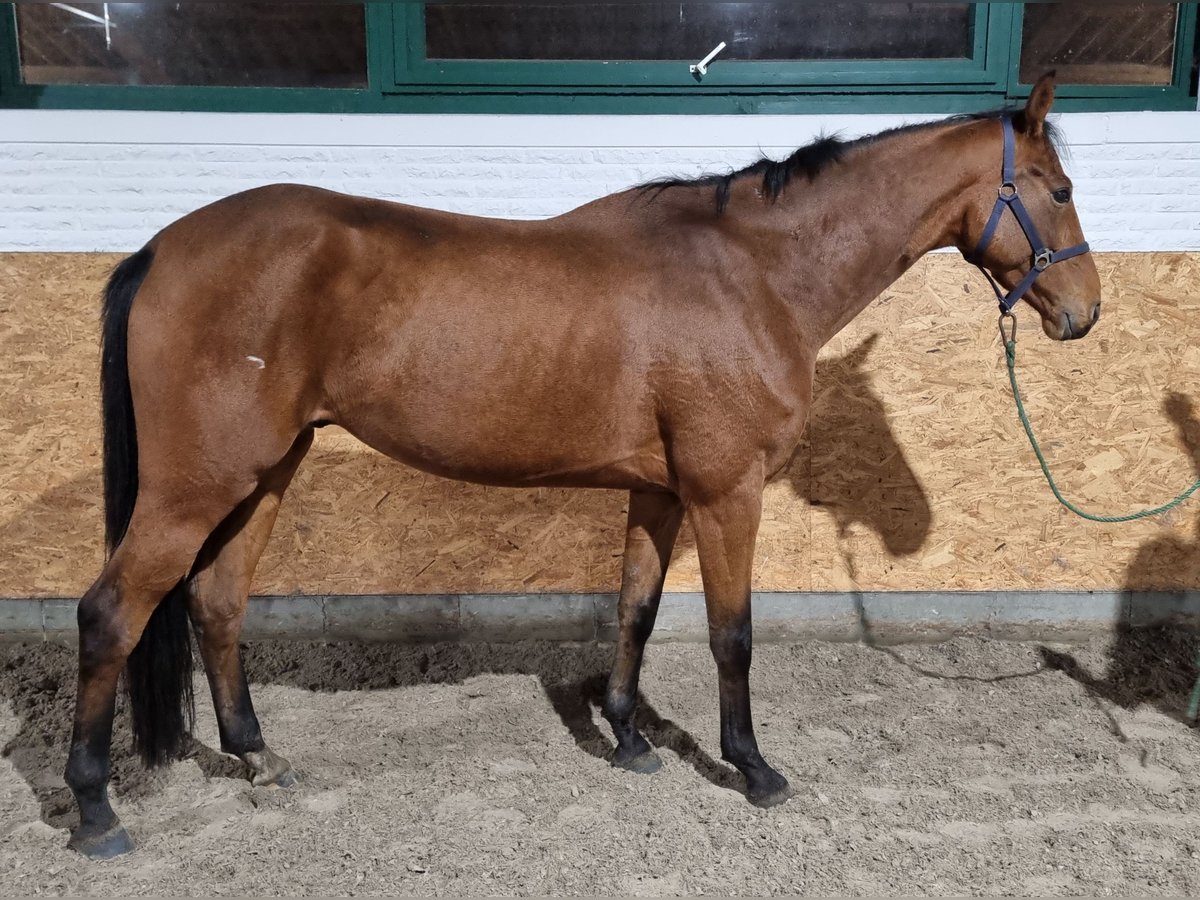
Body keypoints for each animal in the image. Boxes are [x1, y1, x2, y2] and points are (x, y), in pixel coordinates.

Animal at [65, 72, 1099, 859]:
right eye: (1057, 189)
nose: (1083, 312)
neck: (752, 272)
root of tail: (160, 249)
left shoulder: (659, 492)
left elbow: (634, 611)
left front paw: (630, 738)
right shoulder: (725, 494)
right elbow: (732, 636)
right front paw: (753, 768)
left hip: (264, 474)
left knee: (216, 604)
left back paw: (258, 757)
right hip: (196, 487)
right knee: (111, 615)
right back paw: (94, 810)